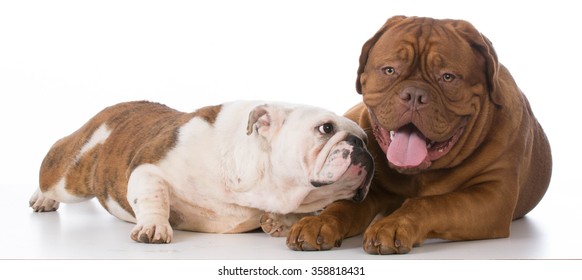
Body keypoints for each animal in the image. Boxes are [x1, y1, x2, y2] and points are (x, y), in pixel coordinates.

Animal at [290, 16, 556, 255]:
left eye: (447, 76)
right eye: (390, 70)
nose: (414, 95)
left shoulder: (493, 196)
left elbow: (432, 203)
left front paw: (393, 224)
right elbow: (343, 206)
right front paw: (320, 222)